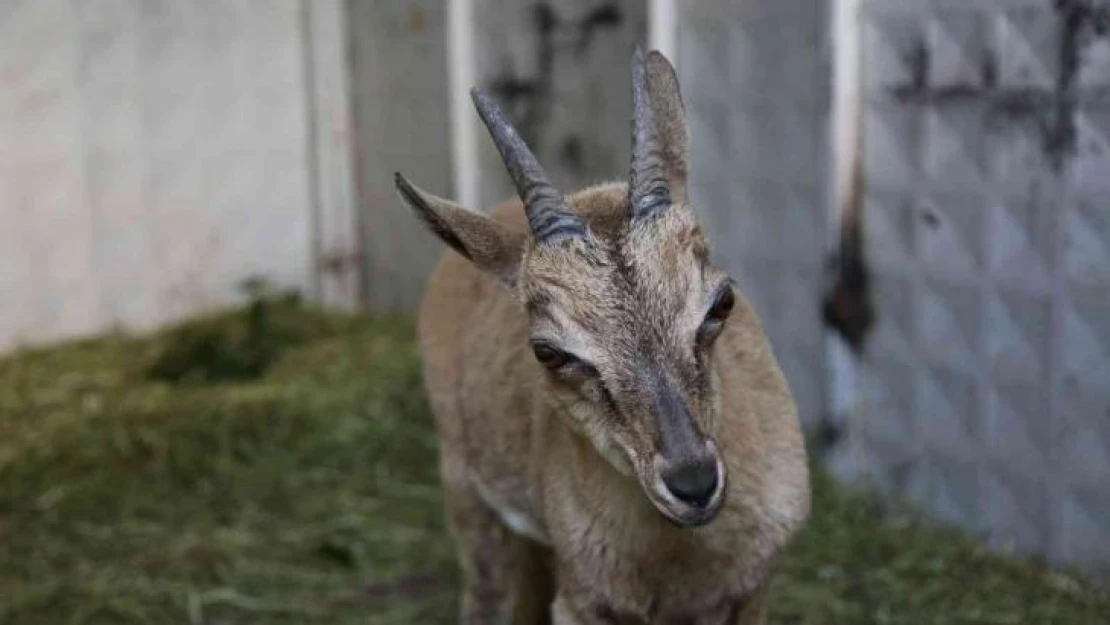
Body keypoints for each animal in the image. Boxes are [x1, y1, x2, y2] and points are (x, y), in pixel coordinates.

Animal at [395, 46, 812, 621]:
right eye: (547, 351)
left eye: (722, 301)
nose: (693, 482)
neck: (679, 564)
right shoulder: (580, 603)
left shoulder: (752, 594)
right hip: (469, 499)